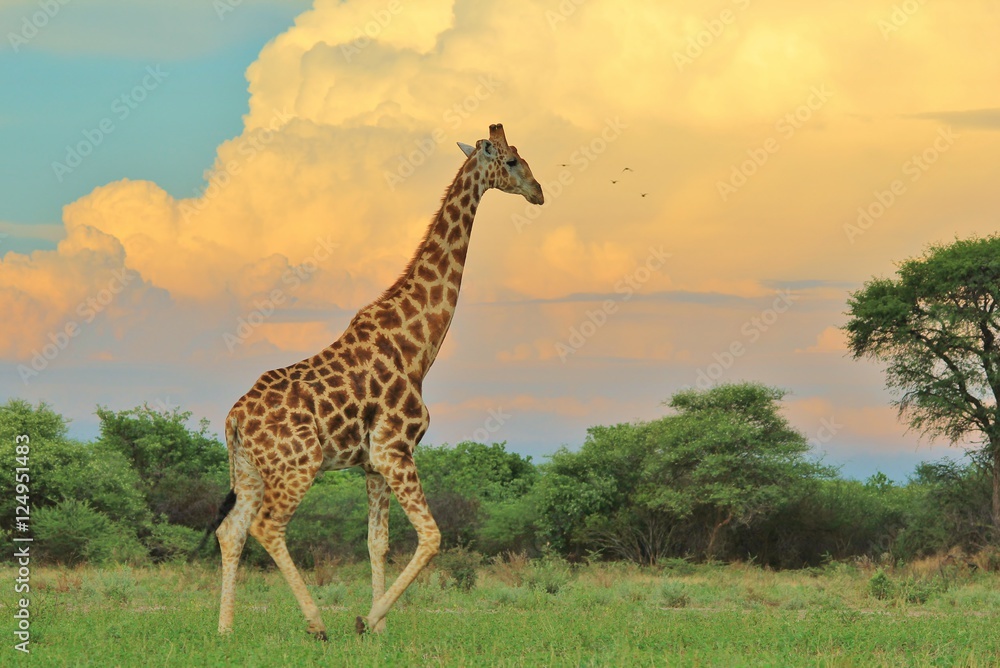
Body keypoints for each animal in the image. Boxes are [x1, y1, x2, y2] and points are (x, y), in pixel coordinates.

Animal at [213, 123, 543, 638]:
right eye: (511, 161)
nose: (538, 192)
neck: (419, 347)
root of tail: (233, 422)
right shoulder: (395, 449)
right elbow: (431, 536)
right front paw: (366, 621)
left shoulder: (373, 464)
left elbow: (377, 542)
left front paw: (379, 627)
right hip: (299, 464)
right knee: (266, 527)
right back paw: (316, 624)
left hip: (249, 471)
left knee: (230, 530)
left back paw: (225, 631)